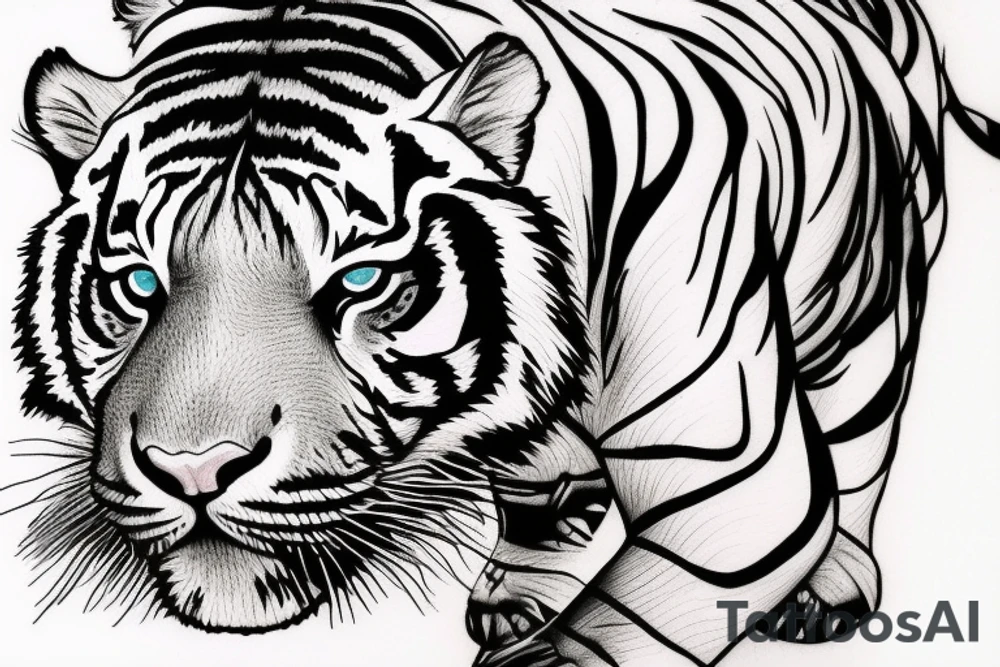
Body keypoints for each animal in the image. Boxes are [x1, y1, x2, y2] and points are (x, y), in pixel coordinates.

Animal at [12, 0, 1000, 665]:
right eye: (139, 282)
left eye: (360, 280)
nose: (192, 471)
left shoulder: (732, 478)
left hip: (866, 298)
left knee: (860, 437)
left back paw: (830, 584)